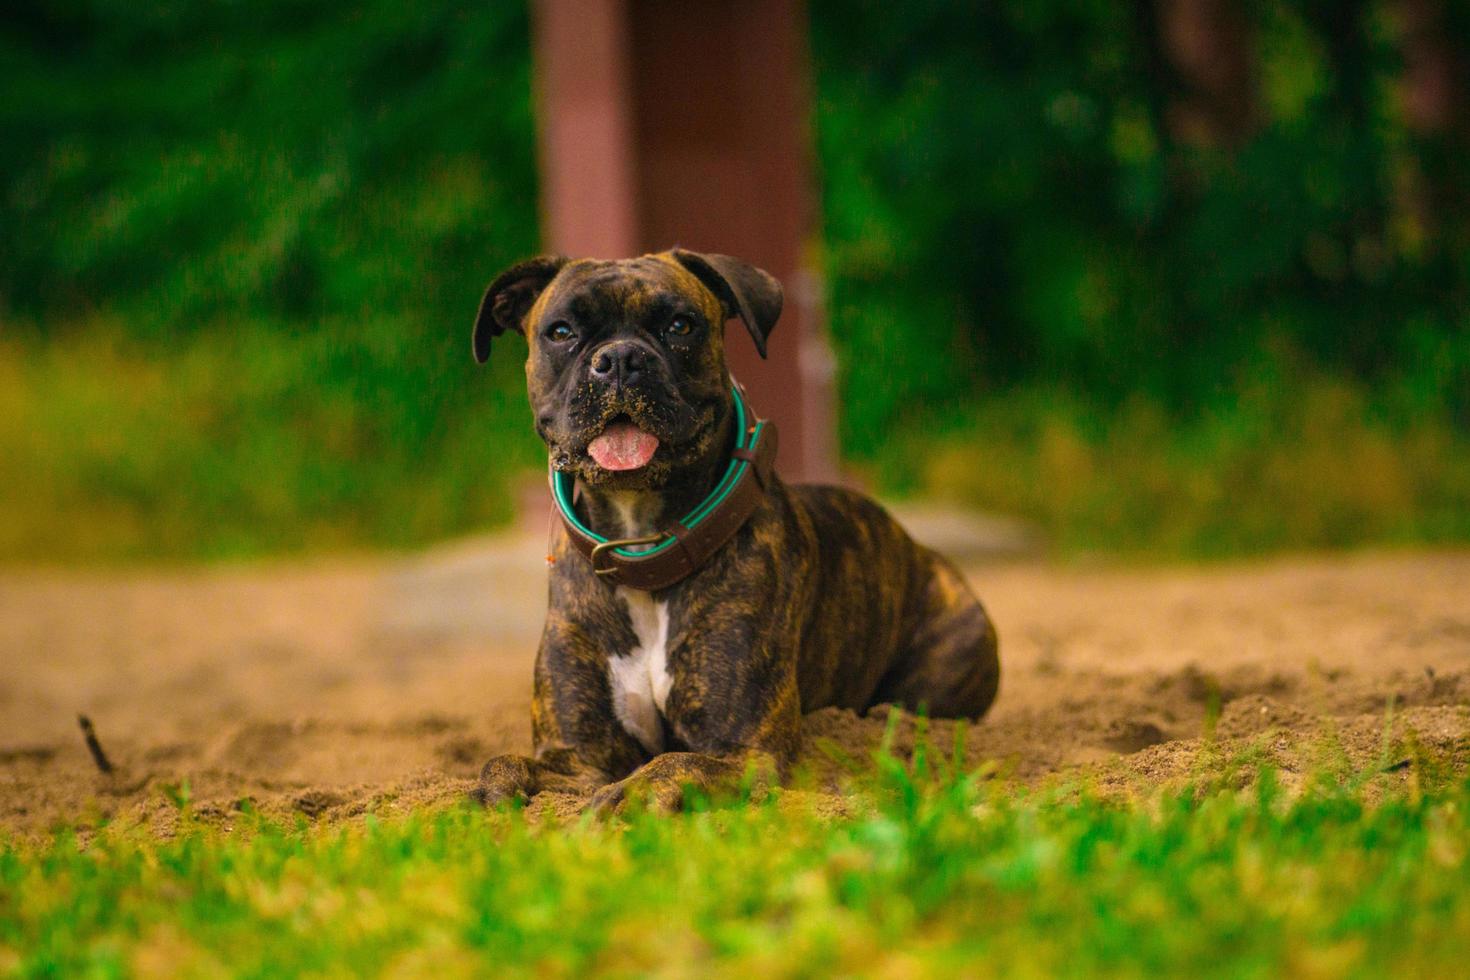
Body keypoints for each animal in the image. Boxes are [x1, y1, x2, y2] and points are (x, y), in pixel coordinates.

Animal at [470, 251, 999, 811]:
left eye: (681, 325)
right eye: (561, 331)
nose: (619, 359)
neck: (643, 547)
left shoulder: (747, 752)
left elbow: (672, 762)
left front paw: (626, 796)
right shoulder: (578, 758)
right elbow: (503, 762)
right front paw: (486, 796)